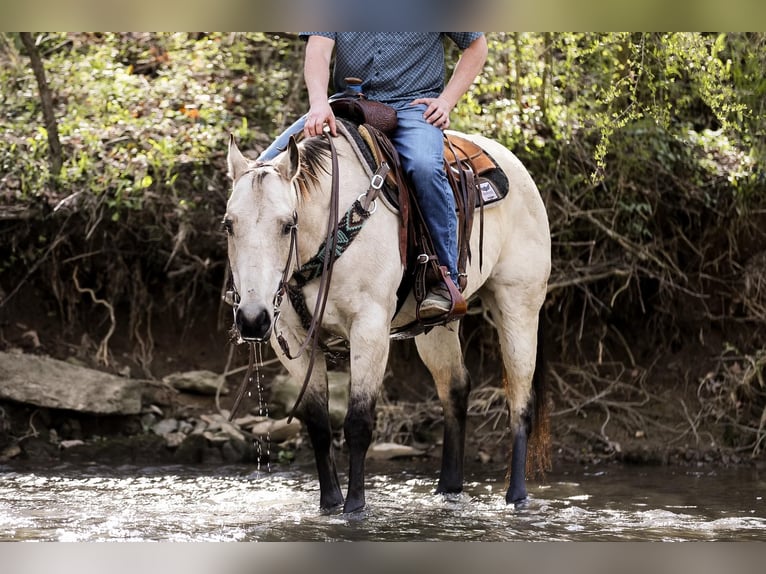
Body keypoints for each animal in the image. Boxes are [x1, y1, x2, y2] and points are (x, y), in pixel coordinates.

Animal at [222, 122, 552, 516]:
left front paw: (354, 508)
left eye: (288, 225)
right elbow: (318, 423)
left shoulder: (370, 328)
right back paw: (448, 490)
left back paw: (516, 496)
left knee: (520, 400)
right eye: (229, 225)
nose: (252, 319)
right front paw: (329, 505)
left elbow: (358, 422)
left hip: (518, 303)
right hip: (435, 327)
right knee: (455, 388)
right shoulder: (290, 338)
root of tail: (517, 166)